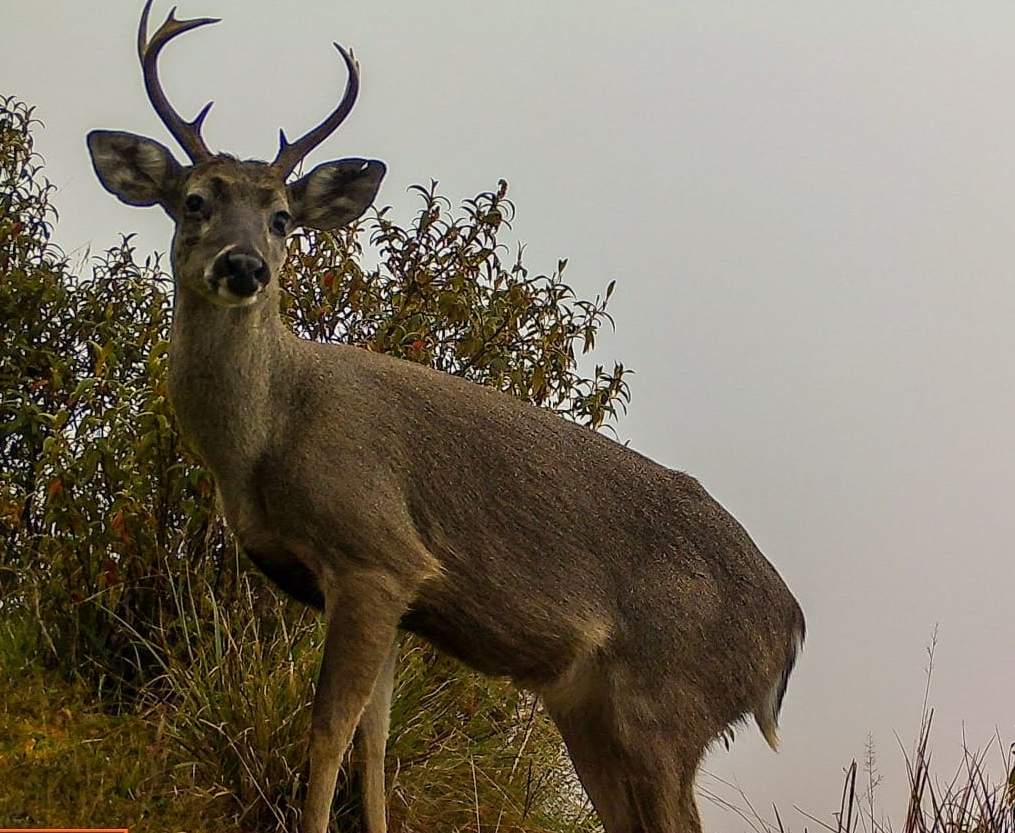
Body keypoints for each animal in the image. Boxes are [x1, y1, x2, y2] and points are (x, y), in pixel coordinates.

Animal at [83, 3, 803, 827]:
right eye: (195, 199)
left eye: (284, 217)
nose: (243, 265)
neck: (266, 435)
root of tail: (787, 629)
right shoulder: (395, 596)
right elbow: (374, 739)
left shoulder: (376, 553)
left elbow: (327, 730)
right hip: (591, 708)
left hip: (664, 701)